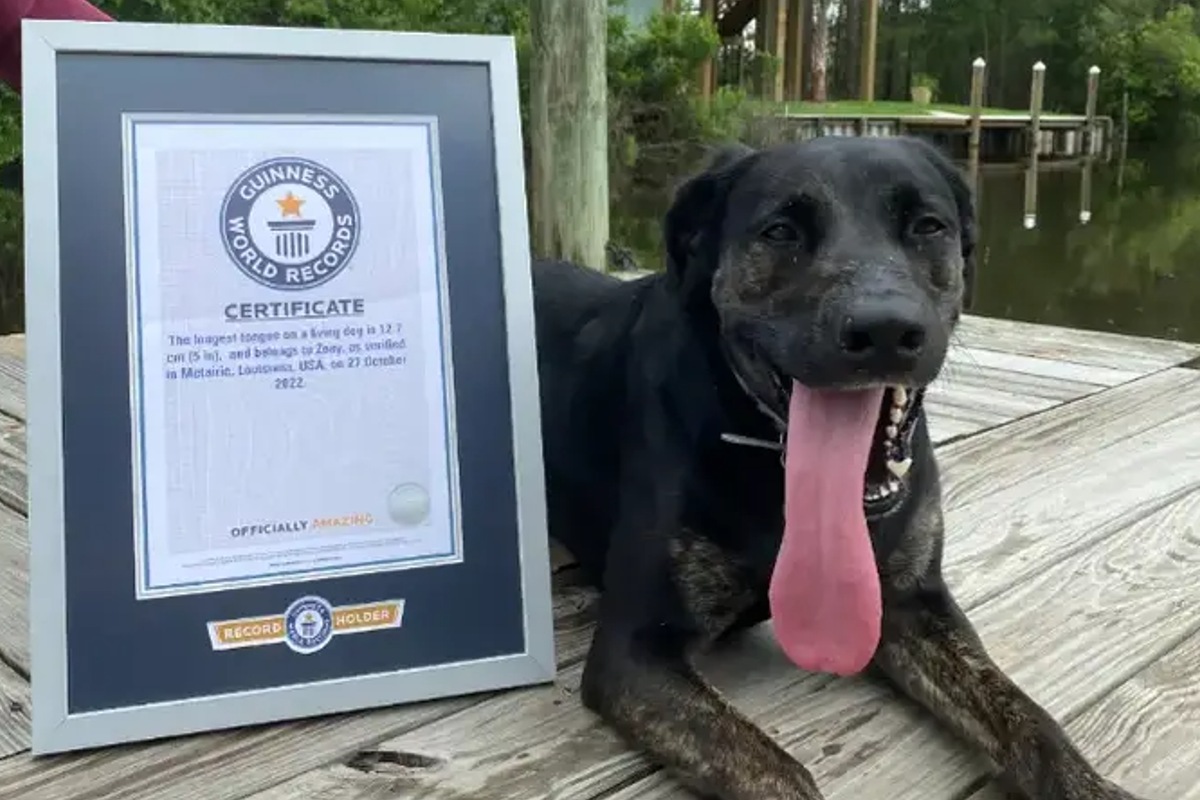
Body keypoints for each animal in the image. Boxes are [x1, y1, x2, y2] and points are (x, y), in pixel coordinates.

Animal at [532, 134, 1142, 796]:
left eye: (927, 226)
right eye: (780, 231)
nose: (884, 330)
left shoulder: (913, 602)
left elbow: (1027, 718)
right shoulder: (637, 649)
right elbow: (775, 771)